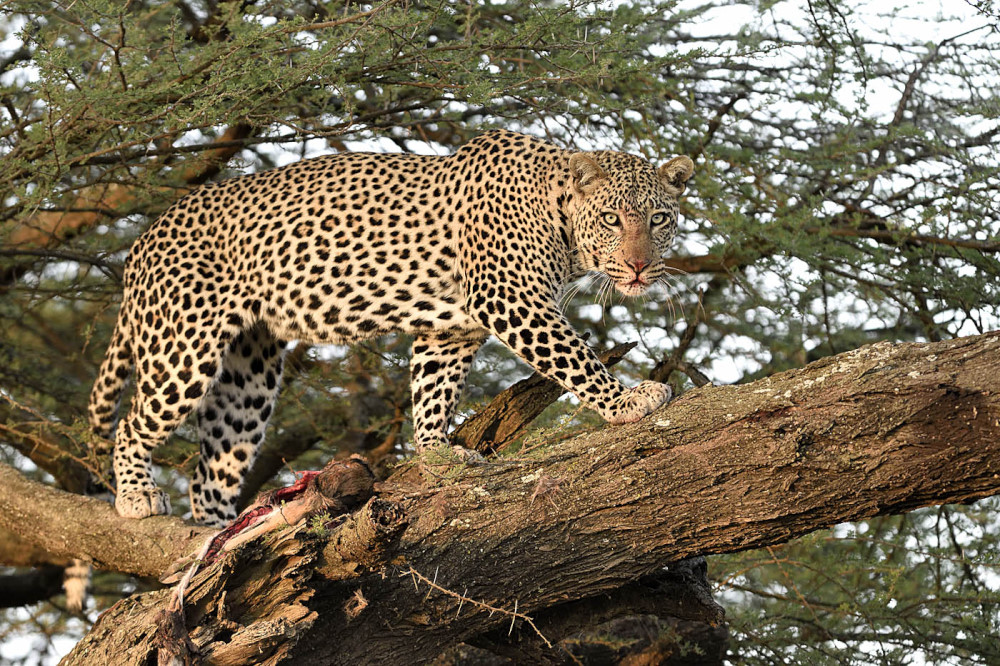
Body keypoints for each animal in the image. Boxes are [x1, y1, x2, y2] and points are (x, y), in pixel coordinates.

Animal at [88, 130, 696, 524]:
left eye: (658, 219)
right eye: (611, 219)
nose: (639, 267)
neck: (559, 218)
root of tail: (142, 241)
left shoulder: (451, 330)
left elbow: (432, 390)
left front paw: (435, 453)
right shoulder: (509, 297)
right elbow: (573, 355)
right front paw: (627, 400)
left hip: (249, 374)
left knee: (211, 465)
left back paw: (217, 534)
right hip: (184, 345)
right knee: (133, 424)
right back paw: (137, 497)